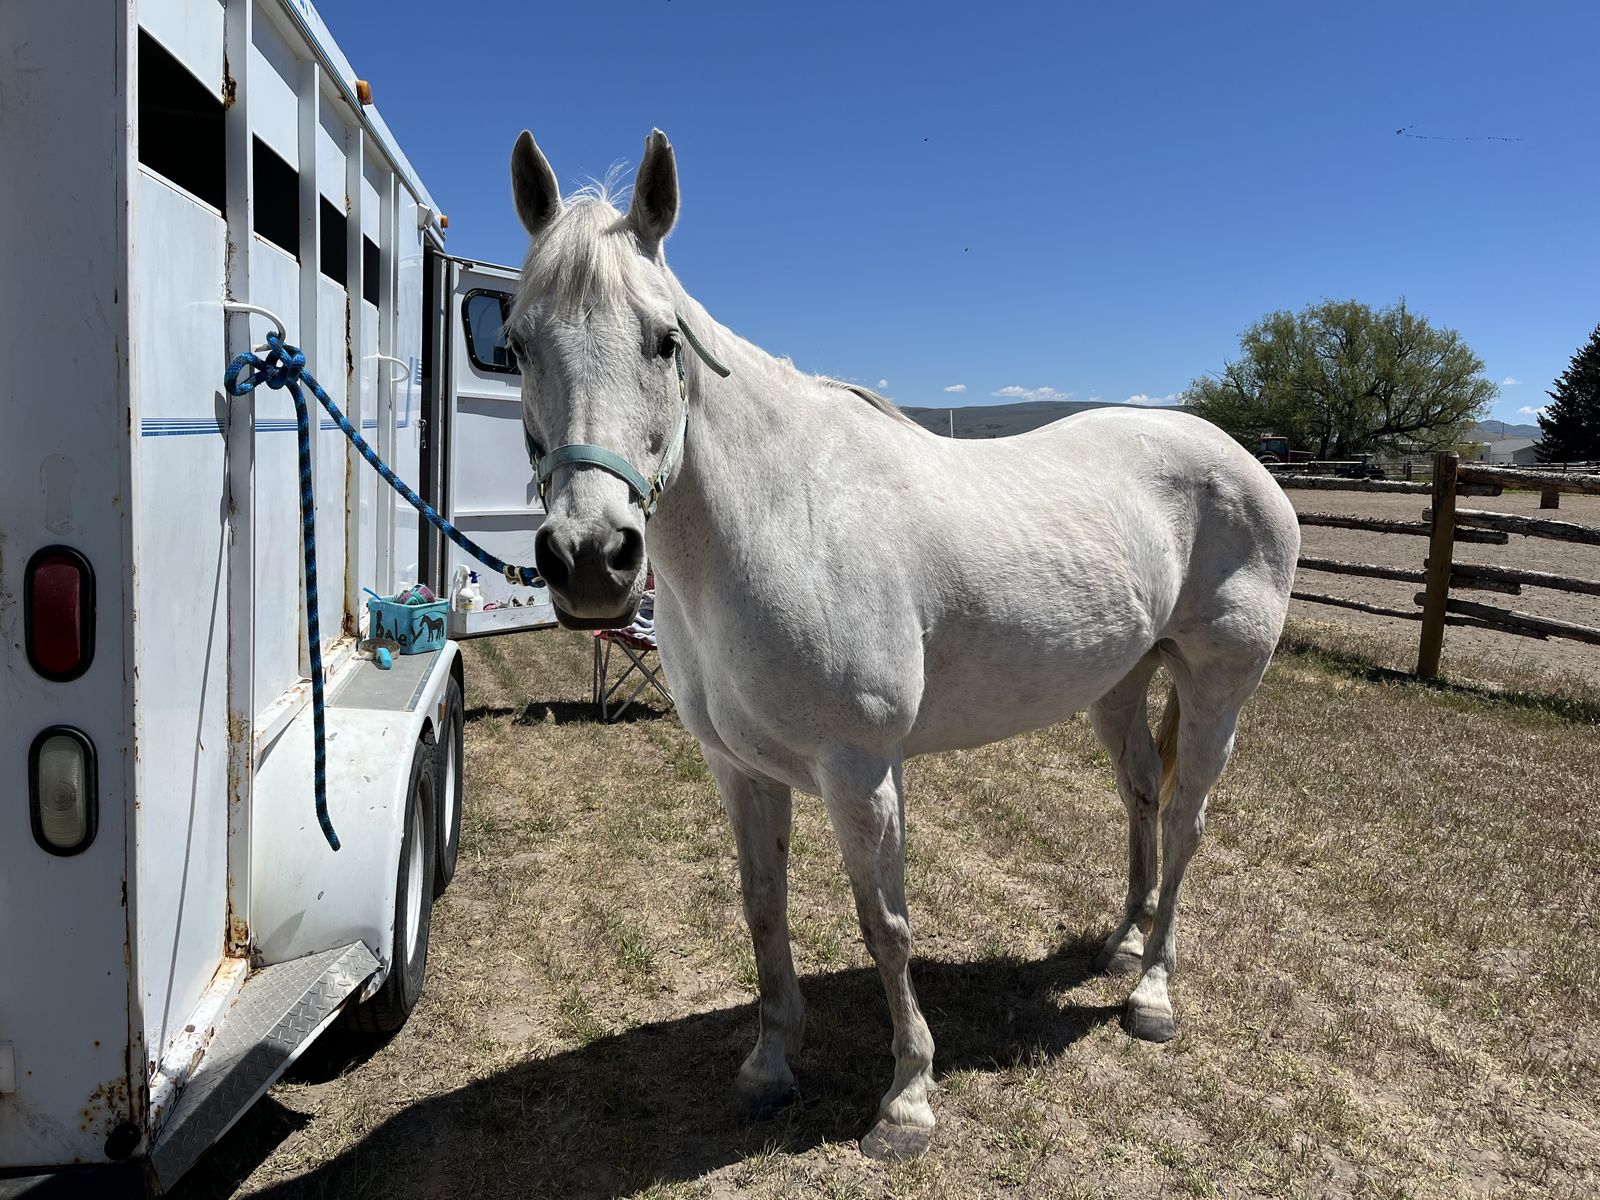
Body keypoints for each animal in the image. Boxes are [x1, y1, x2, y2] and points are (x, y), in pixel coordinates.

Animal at [506, 128, 1300, 1161]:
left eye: (664, 339)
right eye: (518, 344)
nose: (591, 558)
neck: (781, 517)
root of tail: (1246, 461)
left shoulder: (861, 769)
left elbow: (885, 924)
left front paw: (907, 1100)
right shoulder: (738, 769)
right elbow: (763, 907)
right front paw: (769, 1068)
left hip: (1216, 686)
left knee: (1188, 820)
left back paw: (1153, 992)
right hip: (1120, 683)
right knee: (1141, 799)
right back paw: (1120, 943)